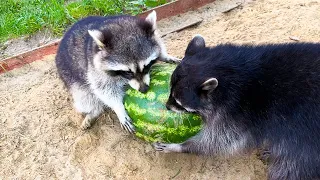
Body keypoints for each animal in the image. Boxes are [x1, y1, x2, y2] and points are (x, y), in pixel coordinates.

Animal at [154, 35, 320, 179]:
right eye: (170, 91)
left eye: (178, 102)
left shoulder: (240, 110)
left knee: (292, 165)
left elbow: (221, 141)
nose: (167, 106)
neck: (233, 69)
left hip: (305, 133)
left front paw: (181, 146)